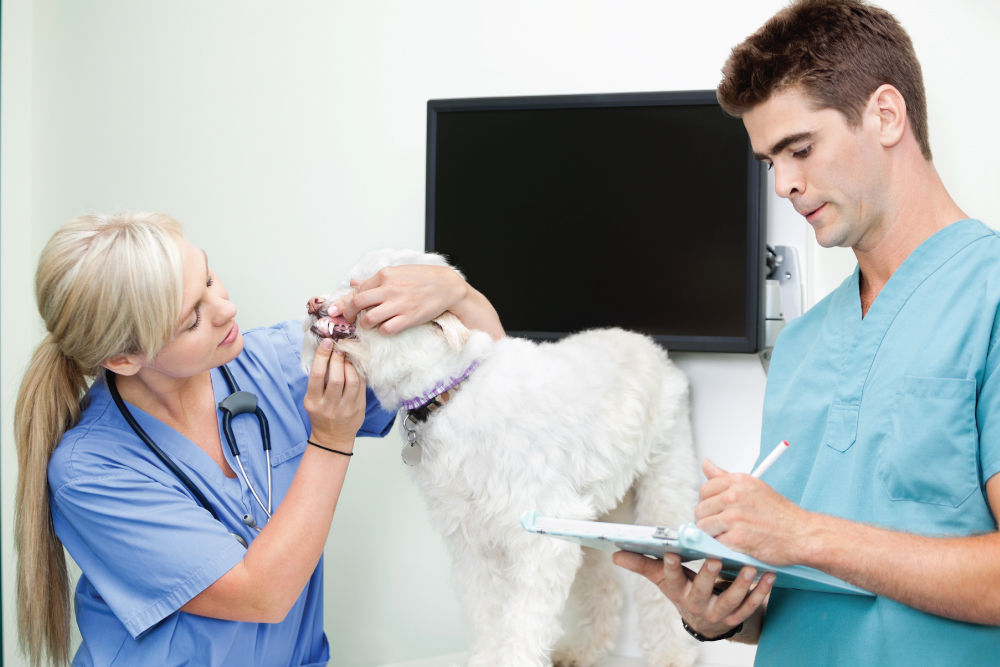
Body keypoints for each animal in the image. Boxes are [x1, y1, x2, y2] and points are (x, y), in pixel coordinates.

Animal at [300, 250, 700, 667]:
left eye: (365, 290)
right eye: (347, 282)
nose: (313, 303)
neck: (452, 394)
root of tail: (651, 347)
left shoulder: (542, 537)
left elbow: (524, 625)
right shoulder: (471, 540)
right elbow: (486, 616)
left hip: (662, 491)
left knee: (662, 590)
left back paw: (673, 654)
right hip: (593, 518)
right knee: (604, 587)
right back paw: (583, 650)